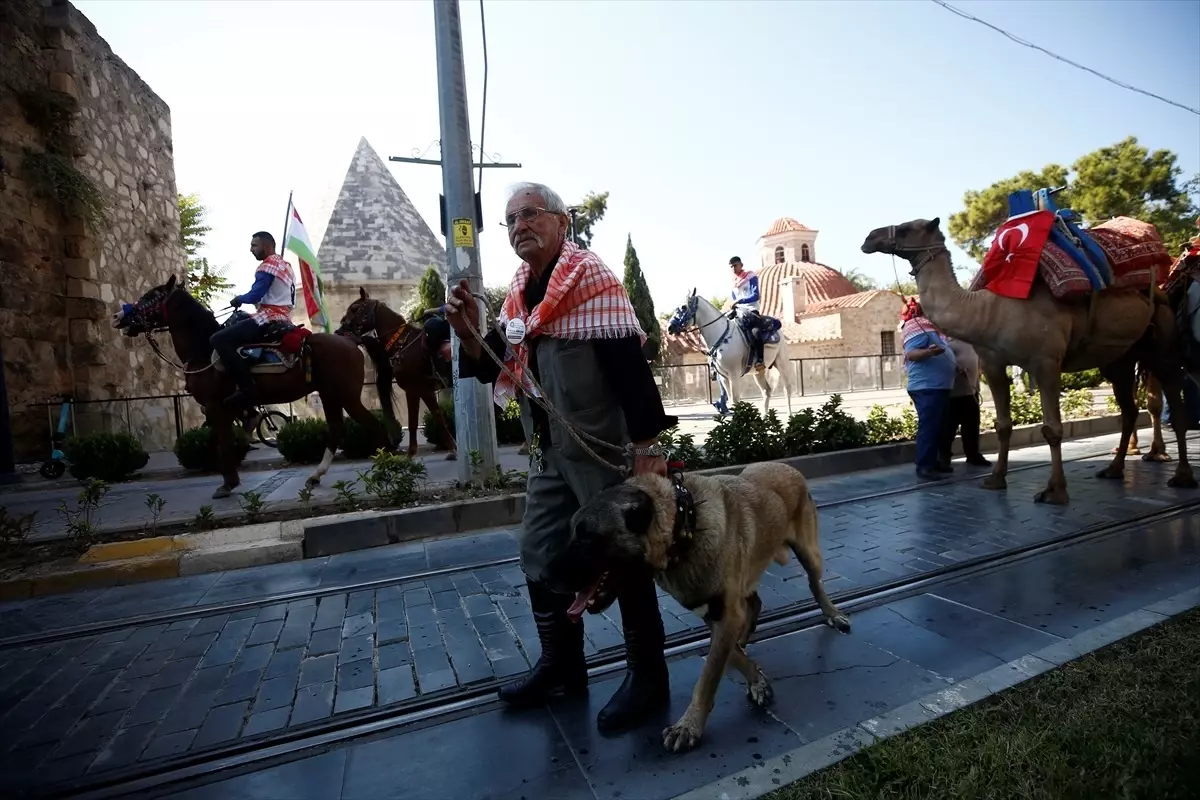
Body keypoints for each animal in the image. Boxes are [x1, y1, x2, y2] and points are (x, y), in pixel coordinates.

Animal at [115, 278, 391, 496]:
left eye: (150, 296)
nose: (119, 317)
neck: (203, 350)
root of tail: (352, 340)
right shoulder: (220, 410)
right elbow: (220, 441)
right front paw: (229, 479)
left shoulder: (215, 406)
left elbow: (222, 443)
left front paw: (228, 484)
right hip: (329, 394)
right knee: (336, 429)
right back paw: (316, 475)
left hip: (346, 395)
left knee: (373, 425)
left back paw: (387, 464)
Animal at [338, 291, 458, 460]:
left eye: (355, 308)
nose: (339, 332)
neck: (404, 344)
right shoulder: (421, 391)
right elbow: (431, 418)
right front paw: (451, 449)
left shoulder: (416, 389)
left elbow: (420, 420)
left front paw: (410, 454)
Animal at [549, 460, 849, 753]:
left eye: (586, 536)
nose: (544, 578)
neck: (685, 526)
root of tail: (789, 467)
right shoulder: (713, 613)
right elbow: (730, 656)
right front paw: (756, 677)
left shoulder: (725, 615)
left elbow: (708, 677)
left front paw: (688, 726)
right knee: (754, 602)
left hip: (809, 554)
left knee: (815, 584)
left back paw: (832, 614)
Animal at [672, 289, 792, 419]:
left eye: (683, 307)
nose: (670, 327)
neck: (722, 336)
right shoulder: (723, 377)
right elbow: (731, 401)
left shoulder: (734, 375)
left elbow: (735, 400)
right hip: (759, 372)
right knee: (766, 391)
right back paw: (765, 418)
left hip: (782, 364)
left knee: (787, 389)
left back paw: (790, 416)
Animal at [859, 217, 1195, 506]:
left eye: (906, 228)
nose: (869, 237)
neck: (988, 311)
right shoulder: (993, 364)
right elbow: (1002, 425)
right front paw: (995, 479)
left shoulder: (1046, 362)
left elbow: (1052, 429)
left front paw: (1055, 491)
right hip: (1119, 358)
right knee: (1129, 409)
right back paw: (1113, 469)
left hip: (1162, 335)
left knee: (1173, 404)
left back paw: (1182, 476)